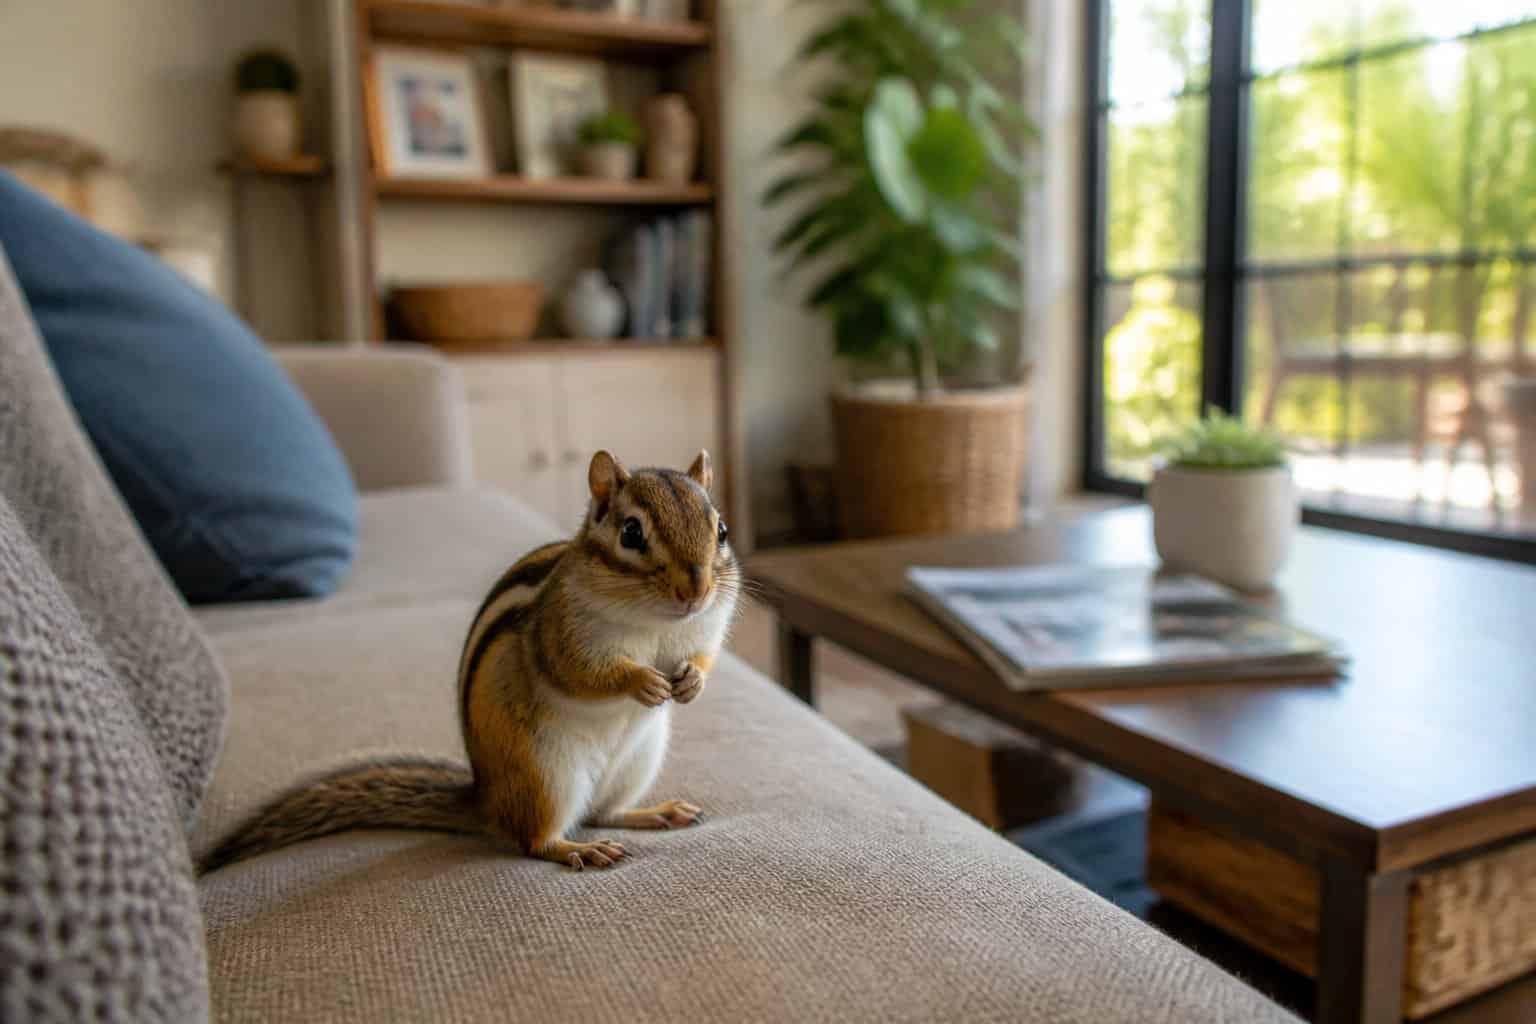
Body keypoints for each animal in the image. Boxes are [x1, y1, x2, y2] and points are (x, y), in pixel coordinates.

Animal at [200, 449, 741, 873]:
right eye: (631, 533)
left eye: (720, 528)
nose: (696, 590)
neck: (656, 623)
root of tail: (485, 799)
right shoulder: (561, 635)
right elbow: (582, 673)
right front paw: (643, 682)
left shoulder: (706, 627)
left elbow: (704, 657)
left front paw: (690, 682)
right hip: (547, 775)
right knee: (536, 838)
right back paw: (577, 850)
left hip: (637, 763)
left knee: (600, 813)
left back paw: (654, 814)